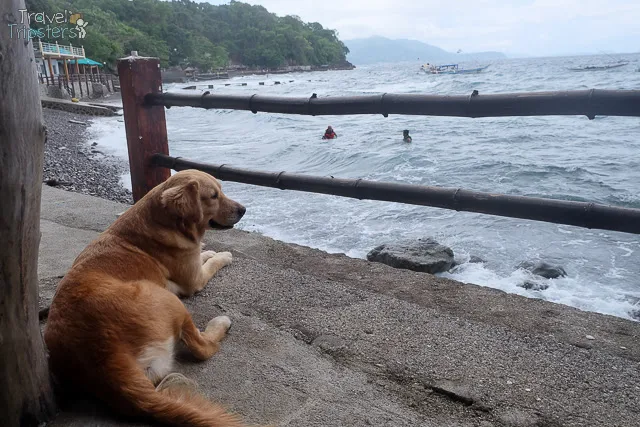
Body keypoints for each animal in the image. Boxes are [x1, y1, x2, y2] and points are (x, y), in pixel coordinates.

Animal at [44, 171, 250, 427]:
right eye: (213, 196)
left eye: (221, 190)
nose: (243, 209)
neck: (165, 221)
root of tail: (107, 362)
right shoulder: (195, 280)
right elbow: (213, 263)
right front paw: (223, 255)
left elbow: (204, 255)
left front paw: (208, 250)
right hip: (166, 298)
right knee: (202, 348)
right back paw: (219, 324)